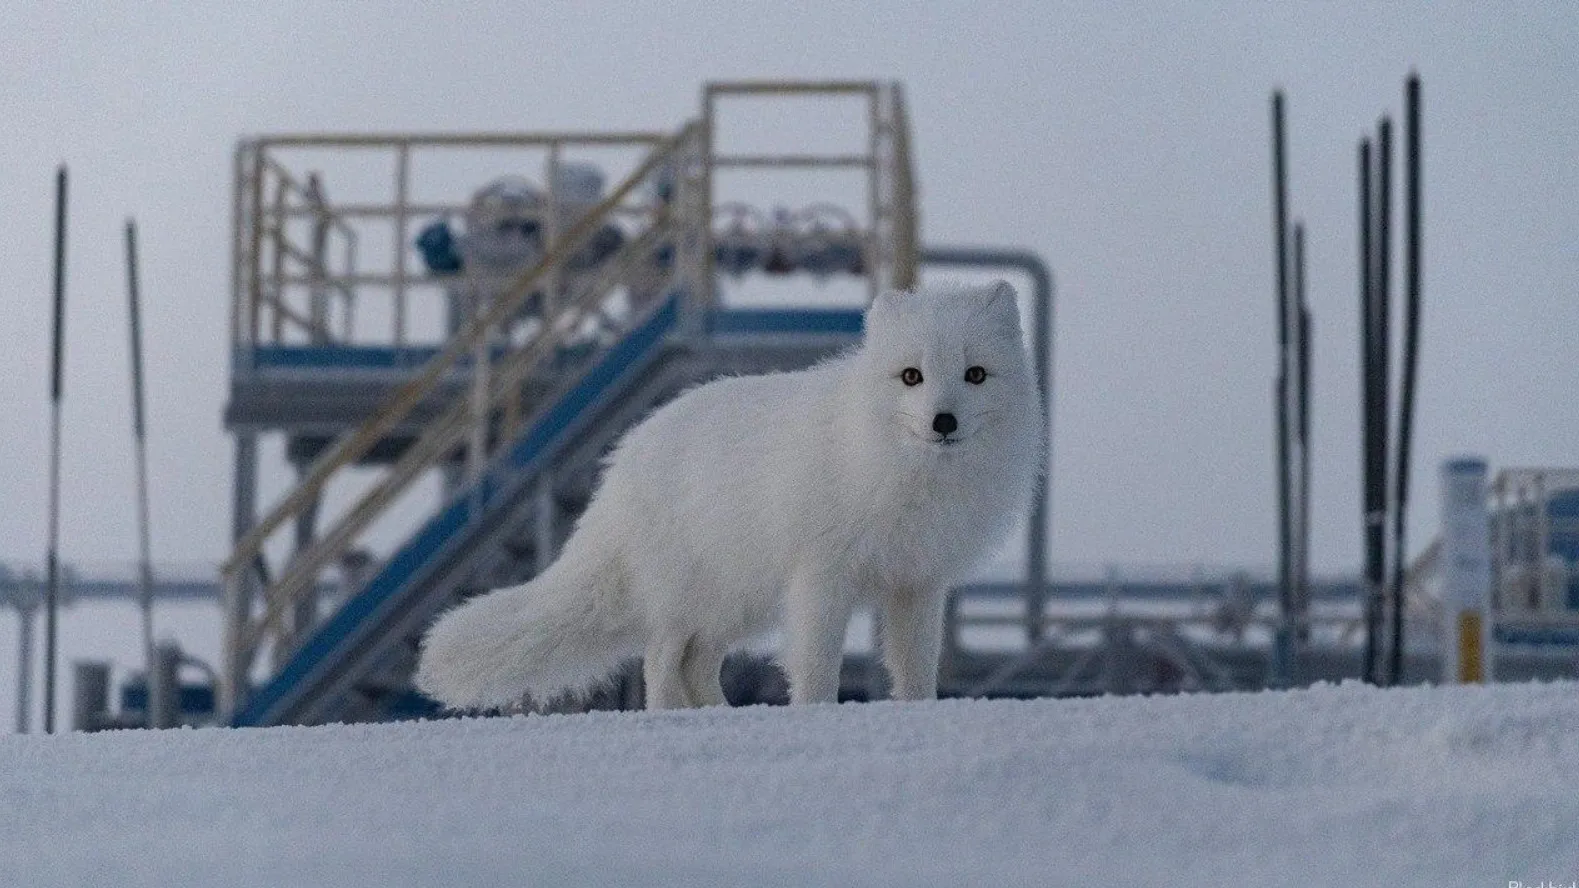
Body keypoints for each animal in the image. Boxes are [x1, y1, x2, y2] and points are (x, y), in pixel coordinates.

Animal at [413, 279, 1042, 707]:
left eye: (975, 375)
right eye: (912, 375)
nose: (943, 421)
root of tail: (623, 462)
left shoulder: (918, 582)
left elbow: (916, 669)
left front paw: (917, 713)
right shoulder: (821, 577)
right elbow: (817, 666)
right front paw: (816, 715)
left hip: (735, 601)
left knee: (695, 664)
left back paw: (719, 713)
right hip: (689, 595)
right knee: (660, 661)